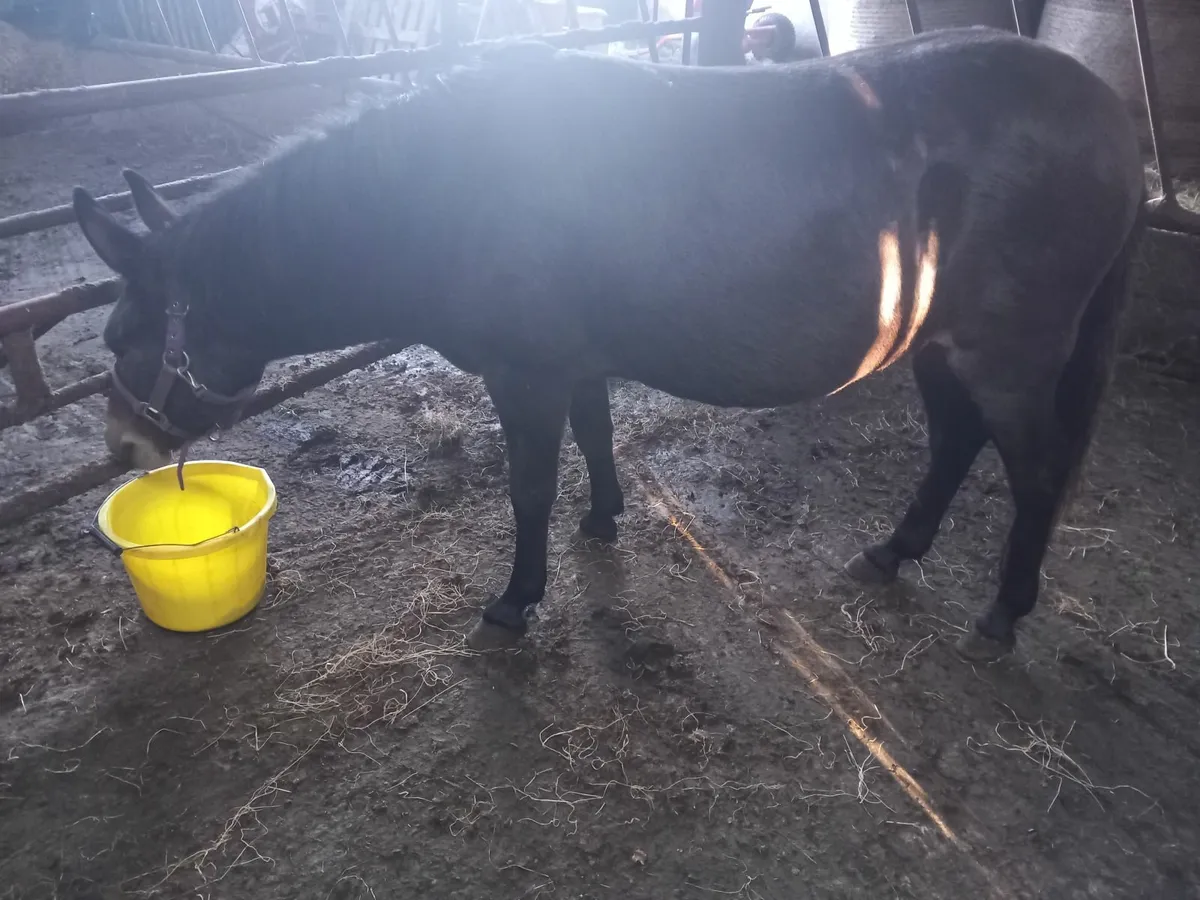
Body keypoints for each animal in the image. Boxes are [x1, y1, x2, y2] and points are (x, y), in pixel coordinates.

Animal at [72, 27, 1146, 663]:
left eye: (124, 334)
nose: (123, 449)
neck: (449, 192)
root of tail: (1111, 118)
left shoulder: (526, 374)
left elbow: (529, 488)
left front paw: (517, 599)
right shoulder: (572, 362)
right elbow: (595, 439)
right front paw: (603, 522)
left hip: (1011, 354)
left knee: (1037, 470)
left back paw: (1006, 610)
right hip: (941, 343)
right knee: (958, 444)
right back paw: (895, 550)